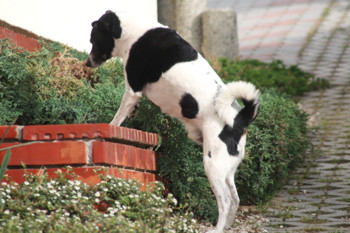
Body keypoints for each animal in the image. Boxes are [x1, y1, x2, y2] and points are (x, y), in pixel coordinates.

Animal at [86, 10, 258, 233]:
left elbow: (118, 118)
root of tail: (240, 117)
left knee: (226, 201)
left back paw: (217, 228)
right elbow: (130, 110)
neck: (131, 31)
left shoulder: (132, 89)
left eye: (93, 40)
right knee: (236, 200)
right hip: (226, 169)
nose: (87, 63)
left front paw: (111, 127)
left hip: (213, 166)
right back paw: (227, 227)